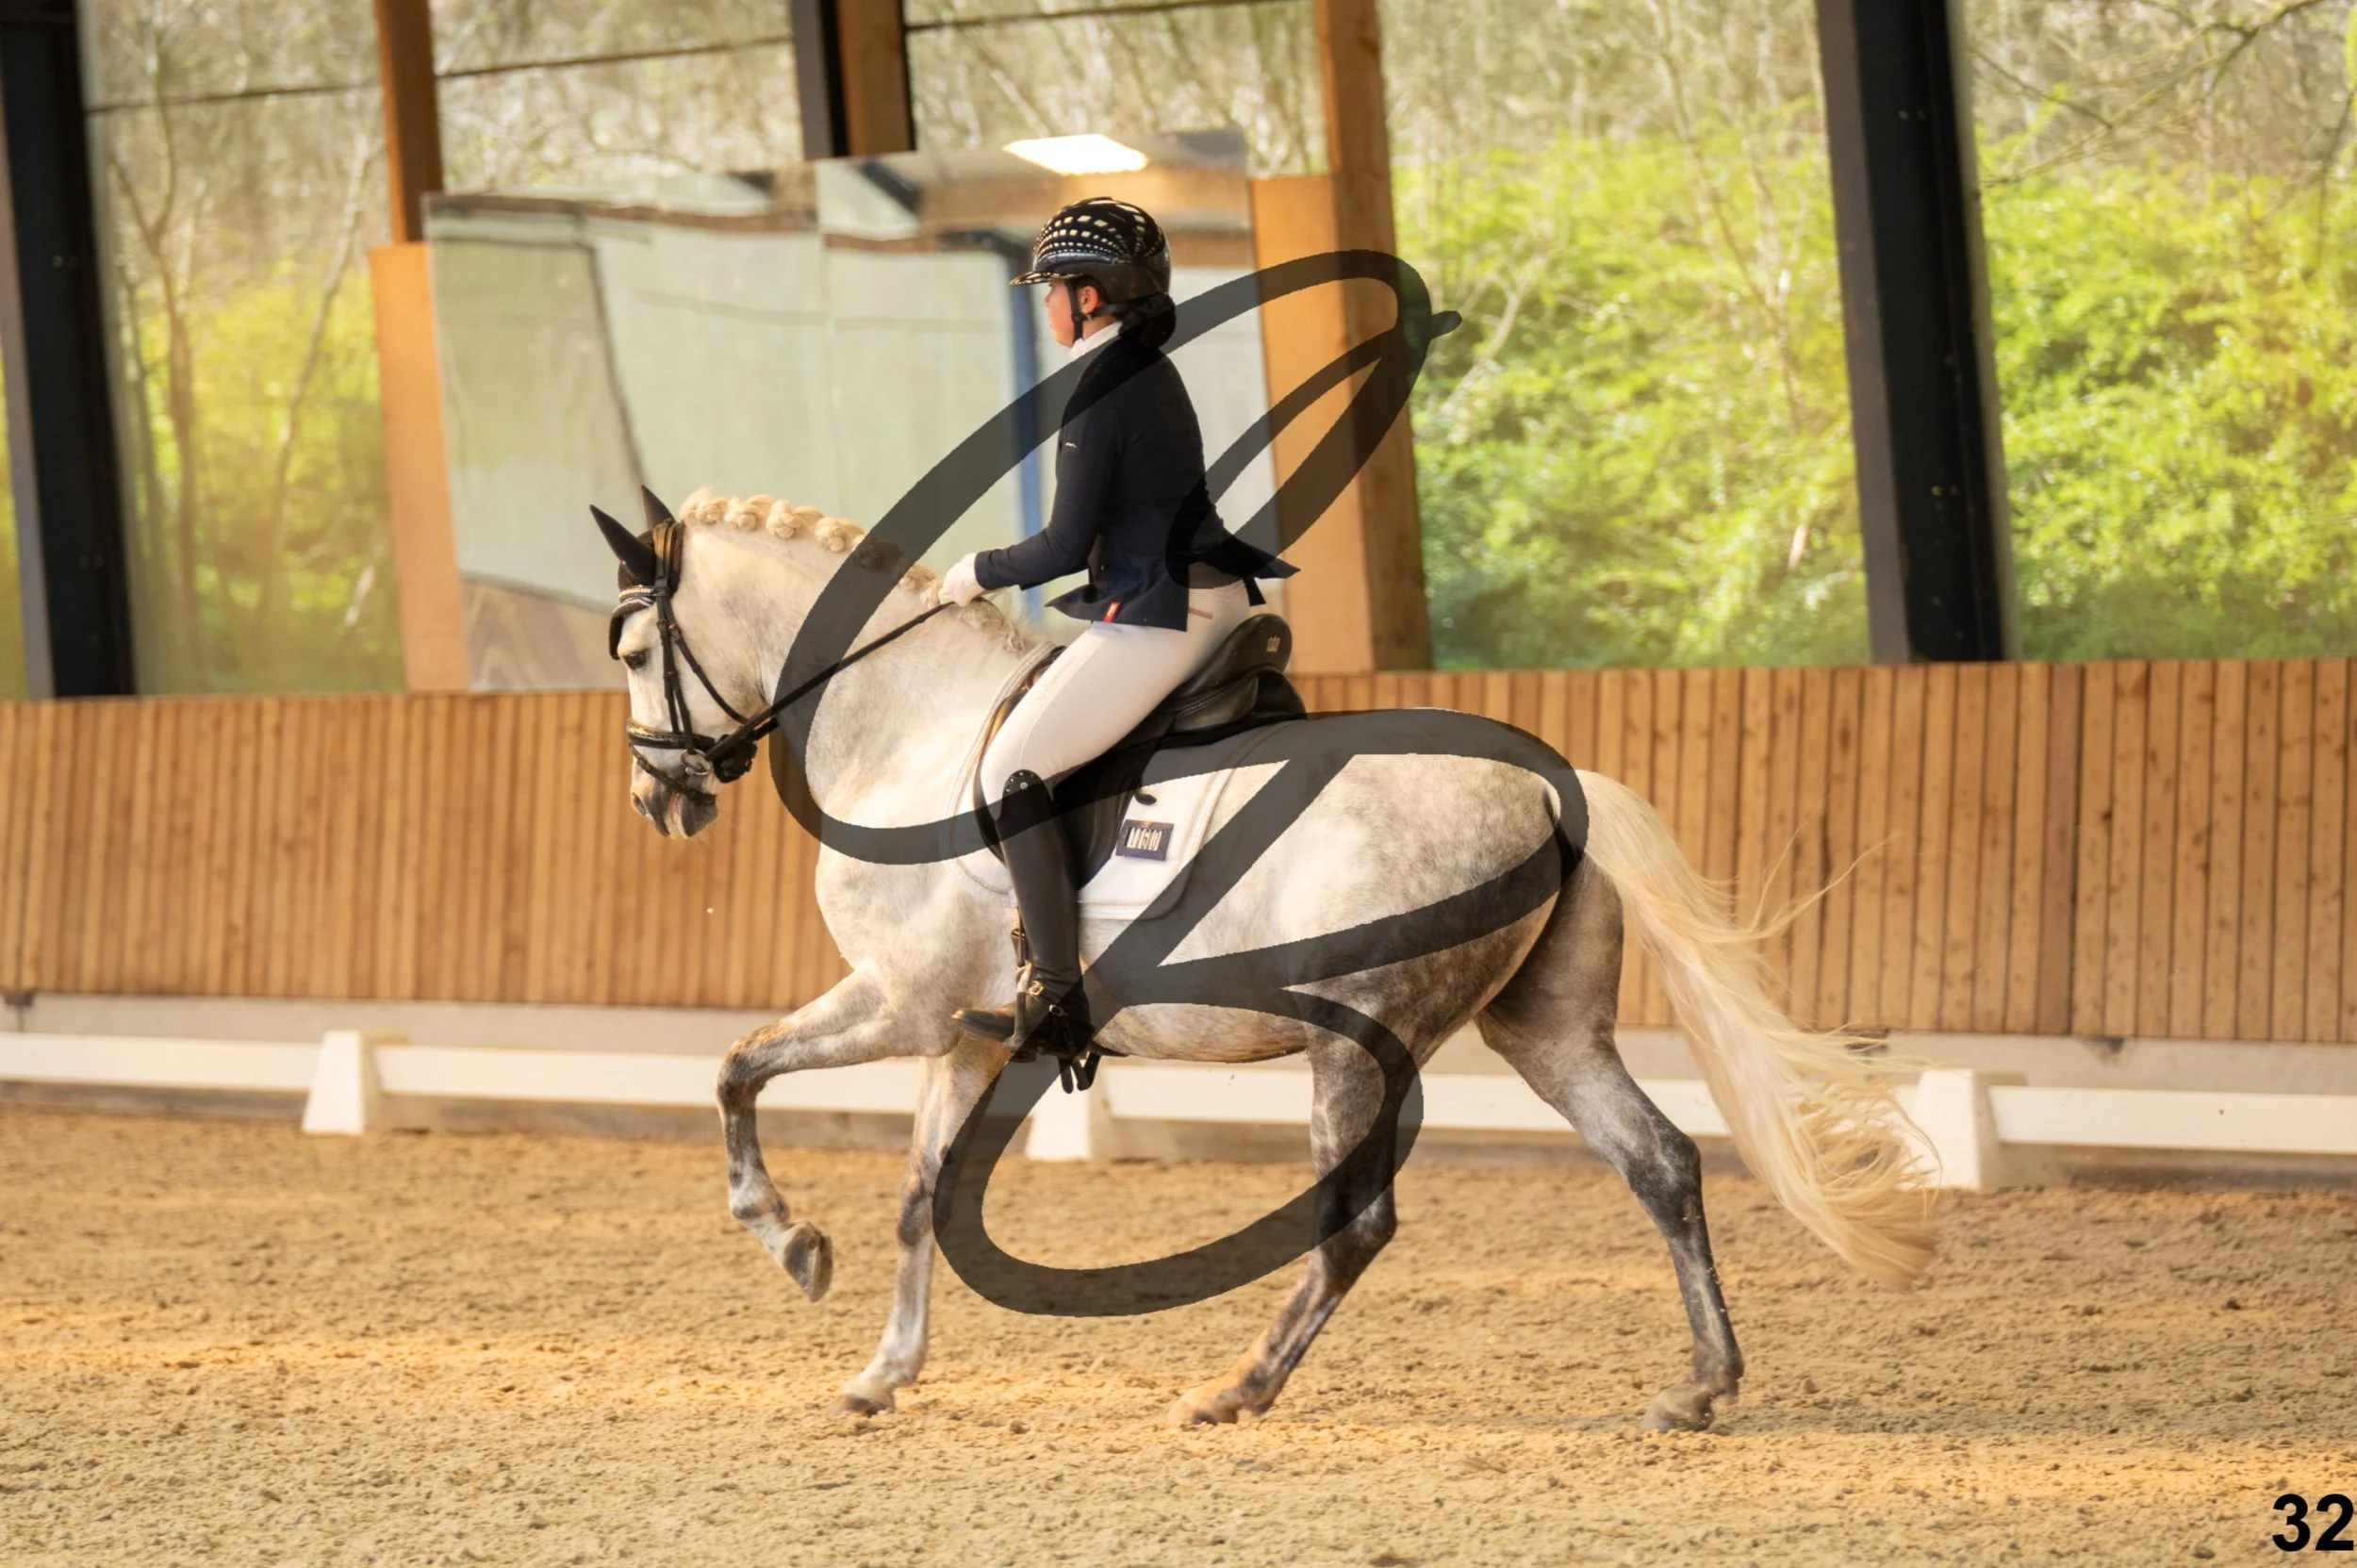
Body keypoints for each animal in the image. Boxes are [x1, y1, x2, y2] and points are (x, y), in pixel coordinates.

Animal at [599, 488, 1935, 1431]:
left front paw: (788, 1240)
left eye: (630, 654)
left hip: (1356, 1043)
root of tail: (1553, 789)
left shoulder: (900, 1005)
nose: (657, 798)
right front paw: (885, 1371)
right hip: (1546, 1031)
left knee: (1357, 1224)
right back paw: (1699, 1385)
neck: (909, 727)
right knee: (1659, 1162)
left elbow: (734, 1069)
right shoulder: (968, 1035)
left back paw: (1235, 1386)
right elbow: (920, 1193)